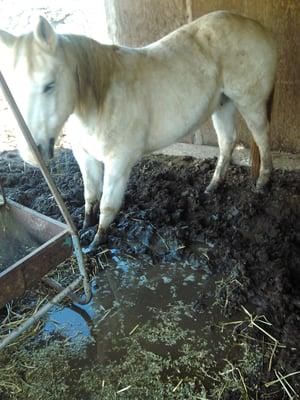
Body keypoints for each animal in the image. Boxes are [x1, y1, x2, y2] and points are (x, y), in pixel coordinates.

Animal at [0, 10, 276, 252]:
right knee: (227, 142)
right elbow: (90, 195)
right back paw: (213, 186)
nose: (31, 153)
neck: (101, 100)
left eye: (49, 85)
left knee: (262, 138)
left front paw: (96, 242)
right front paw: (86, 226)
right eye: (12, 86)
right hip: (222, 104)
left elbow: (107, 205)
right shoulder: (85, 157)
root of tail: (259, 27)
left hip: (250, 103)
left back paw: (262, 183)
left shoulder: (119, 162)